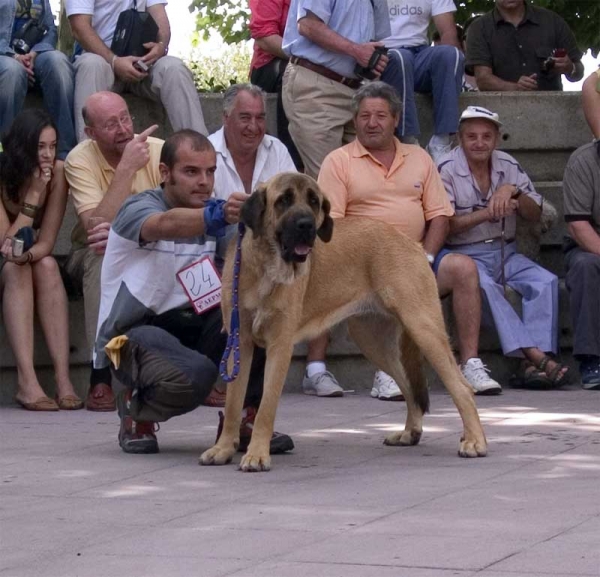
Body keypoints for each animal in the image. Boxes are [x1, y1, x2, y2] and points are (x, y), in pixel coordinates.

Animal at [202, 173, 488, 470]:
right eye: (284, 200)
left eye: (314, 202)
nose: (306, 225)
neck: (266, 265)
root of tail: (414, 244)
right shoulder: (239, 343)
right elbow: (233, 402)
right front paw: (223, 448)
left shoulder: (279, 346)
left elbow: (266, 407)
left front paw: (257, 454)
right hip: (373, 340)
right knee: (410, 388)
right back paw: (411, 433)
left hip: (423, 328)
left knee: (462, 388)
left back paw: (474, 441)